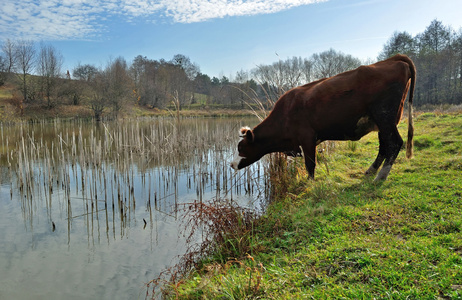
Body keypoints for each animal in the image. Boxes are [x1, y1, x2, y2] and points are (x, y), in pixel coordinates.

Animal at [231, 53, 416, 180]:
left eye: (241, 148)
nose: (231, 164)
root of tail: (393, 59)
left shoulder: (307, 137)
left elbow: (310, 164)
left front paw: (309, 183)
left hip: (385, 116)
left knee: (395, 143)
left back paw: (381, 176)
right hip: (383, 121)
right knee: (384, 145)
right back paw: (371, 171)